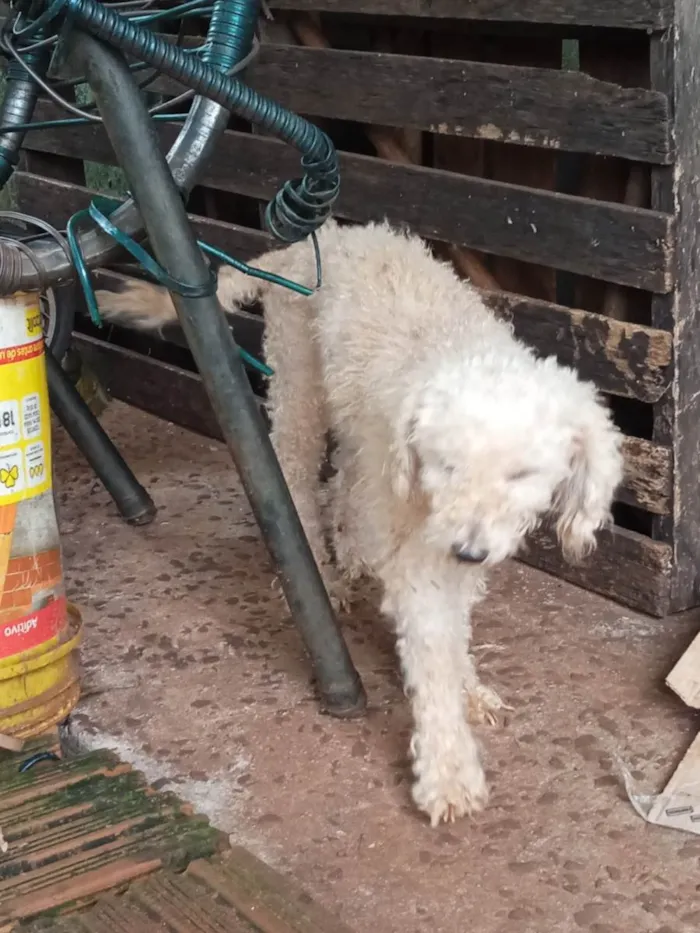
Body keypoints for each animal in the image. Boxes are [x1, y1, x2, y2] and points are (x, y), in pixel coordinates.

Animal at [97, 220, 624, 832]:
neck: (454, 348)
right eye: (445, 464)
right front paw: (448, 773)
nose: (469, 550)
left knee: (346, 481)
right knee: (296, 476)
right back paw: (320, 576)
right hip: (298, 378)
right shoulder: (424, 547)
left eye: (522, 473)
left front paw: (468, 689)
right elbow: (432, 652)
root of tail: (319, 239)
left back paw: (350, 555)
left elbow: (455, 630)